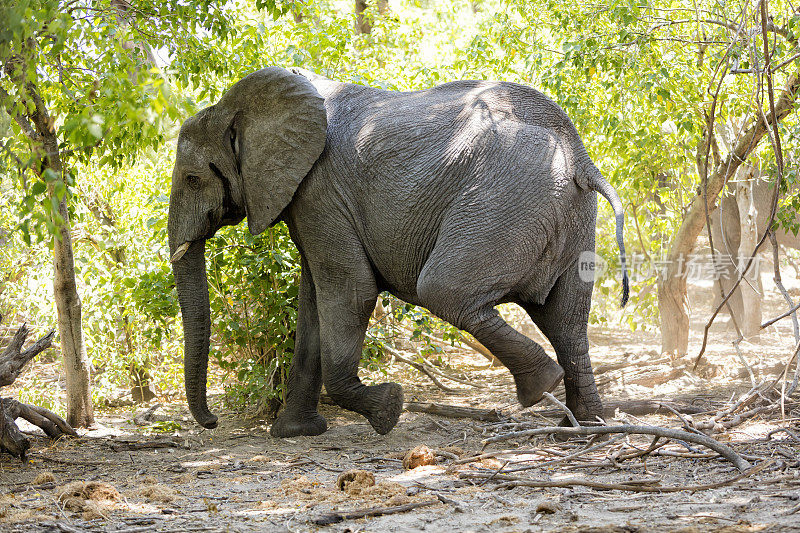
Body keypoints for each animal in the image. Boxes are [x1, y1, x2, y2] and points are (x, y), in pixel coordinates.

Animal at [167, 66, 632, 436]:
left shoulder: (319, 191)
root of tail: (580, 156)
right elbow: (313, 302)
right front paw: (294, 434)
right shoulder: (307, 198)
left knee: (445, 291)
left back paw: (542, 389)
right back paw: (585, 423)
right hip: (569, 215)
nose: (211, 422)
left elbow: (351, 291)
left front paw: (388, 410)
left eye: (192, 178)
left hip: (506, 198)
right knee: (566, 320)